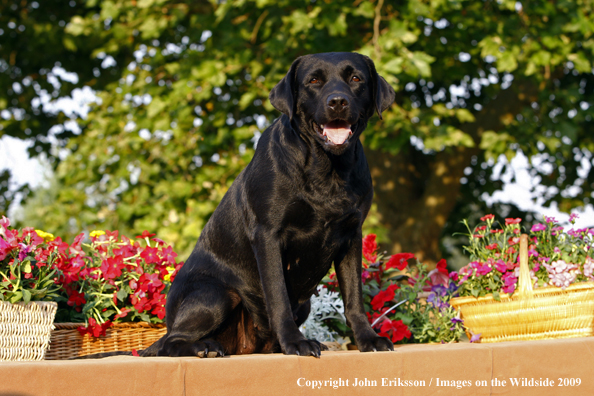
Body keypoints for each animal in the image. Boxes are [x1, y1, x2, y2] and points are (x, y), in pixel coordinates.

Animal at [141, 51, 396, 358]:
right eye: (314, 81)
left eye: (356, 78)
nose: (337, 101)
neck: (328, 169)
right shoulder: (268, 233)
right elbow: (277, 295)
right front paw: (296, 342)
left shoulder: (351, 235)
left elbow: (355, 299)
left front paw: (369, 339)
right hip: (215, 294)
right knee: (169, 342)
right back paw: (205, 347)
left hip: (302, 303)